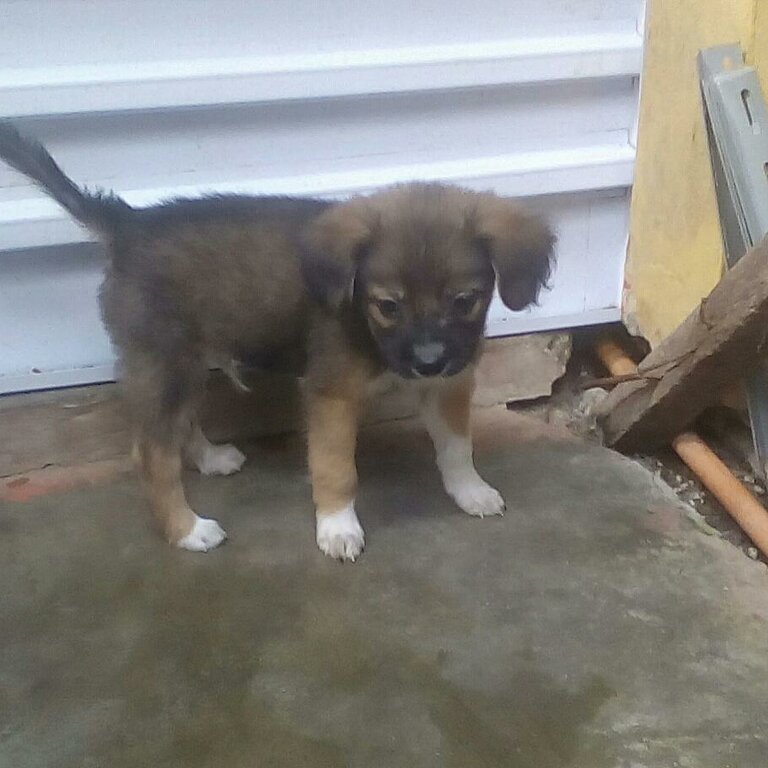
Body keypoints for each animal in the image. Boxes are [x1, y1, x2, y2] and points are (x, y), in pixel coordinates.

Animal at [296, 183, 556, 560]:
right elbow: (335, 467)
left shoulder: (446, 387)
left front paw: (470, 490)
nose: (429, 363)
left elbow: (457, 447)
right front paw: (337, 525)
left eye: (464, 301)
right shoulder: (332, 395)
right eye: (388, 306)